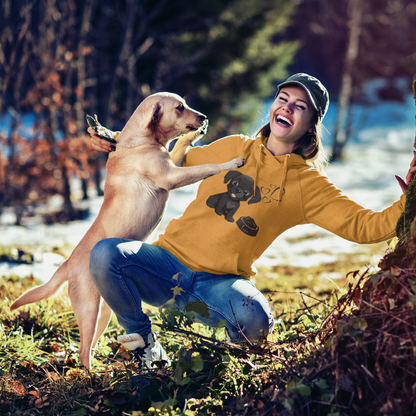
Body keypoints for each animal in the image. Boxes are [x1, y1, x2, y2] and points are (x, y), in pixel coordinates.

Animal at [11, 92, 244, 368]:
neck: (141, 141)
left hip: (104, 312)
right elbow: (206, 168)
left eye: (185, 104)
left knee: (88, 346)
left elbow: (179, 146)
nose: (204, 117)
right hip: (89, 310)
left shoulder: (171, 163)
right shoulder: (171, 177)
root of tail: (68, 263)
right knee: (83, 352)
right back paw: (94, 374)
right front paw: (231, 162)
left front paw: (193, 136)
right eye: (179, 108)